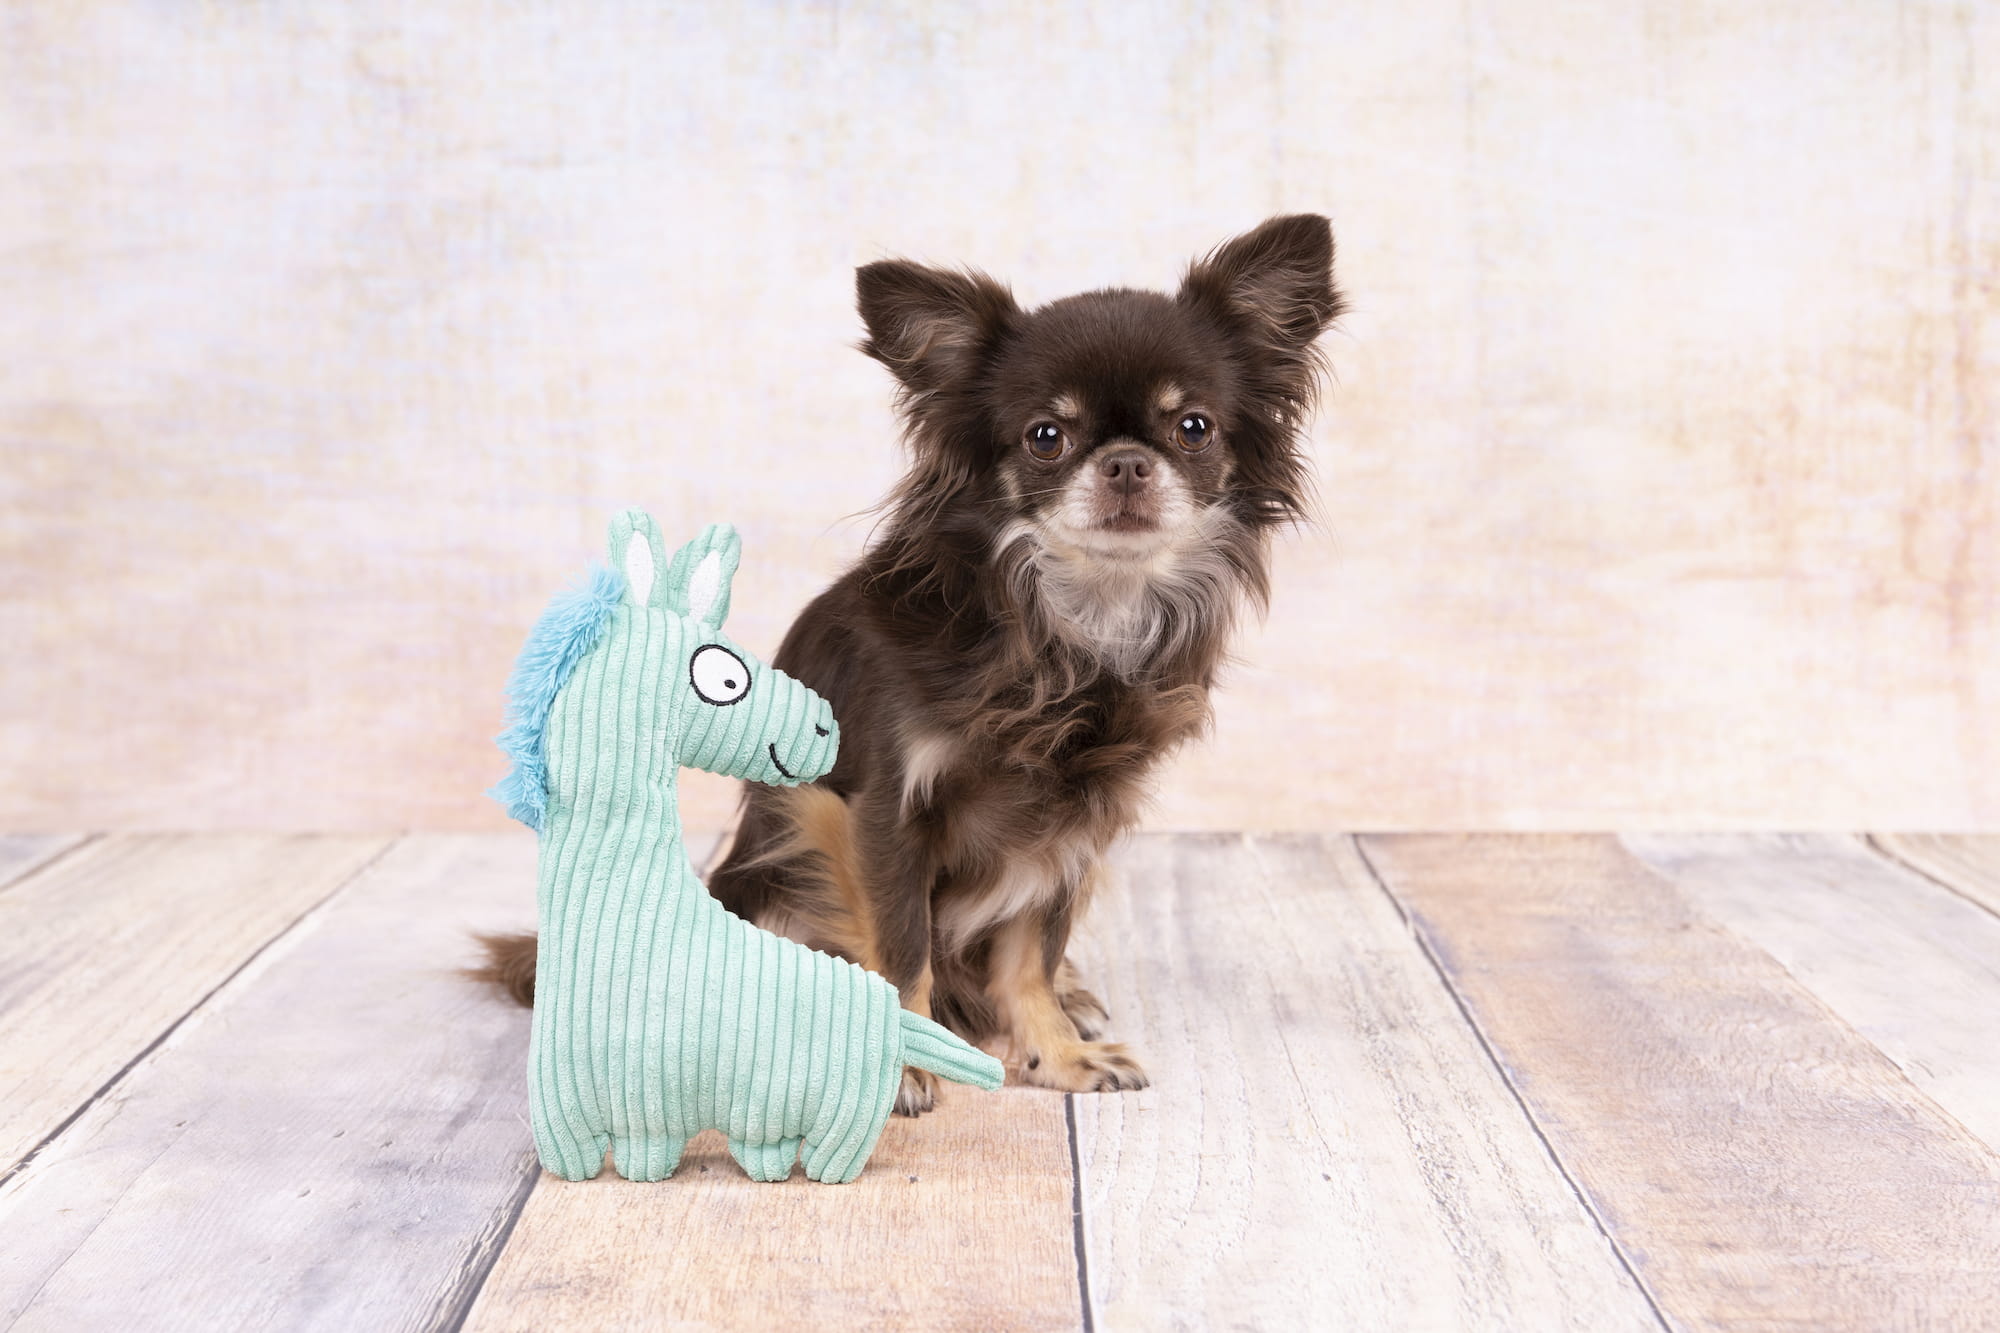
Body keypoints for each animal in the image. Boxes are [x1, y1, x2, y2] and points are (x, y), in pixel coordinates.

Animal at [478, 213, 1342, 1115]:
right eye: (1046, 437)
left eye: (1194, 427)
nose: (1128, 462)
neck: (1062, 629)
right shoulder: (881, 811)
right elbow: (902, 947)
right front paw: (902, 1067)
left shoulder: (1074, 823)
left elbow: (1032, 948)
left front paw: (1058, 1053)